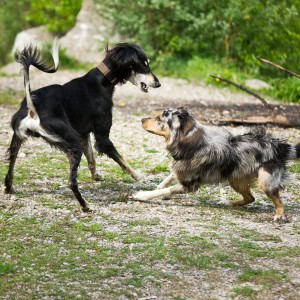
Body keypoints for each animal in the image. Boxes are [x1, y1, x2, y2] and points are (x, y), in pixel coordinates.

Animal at [3, 38, 161, 211]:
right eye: (143, 64)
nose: (158, 83)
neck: (102, 81)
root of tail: (32, 108)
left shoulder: (83, 134)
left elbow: (92, 159)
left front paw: (96, 176)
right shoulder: (102, 137)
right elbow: (122, 161)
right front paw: (139, 176)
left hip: (19, 137)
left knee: (11, 164)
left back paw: (9, 187)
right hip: (71, 141)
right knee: (71, 182)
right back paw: (85, 205)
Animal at [134, 108, 300, 220]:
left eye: (159, 118)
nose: (141, 119)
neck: (189, 141)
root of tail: (279, 146)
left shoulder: (189, 185)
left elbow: (165, 189)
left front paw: (143, 195)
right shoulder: (182, 167)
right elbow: (171, 175)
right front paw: (158, 185)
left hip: (265, 181)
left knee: (278, 200)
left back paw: (279, 215)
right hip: (235, 179)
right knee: (250, 198)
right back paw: (230, 203)